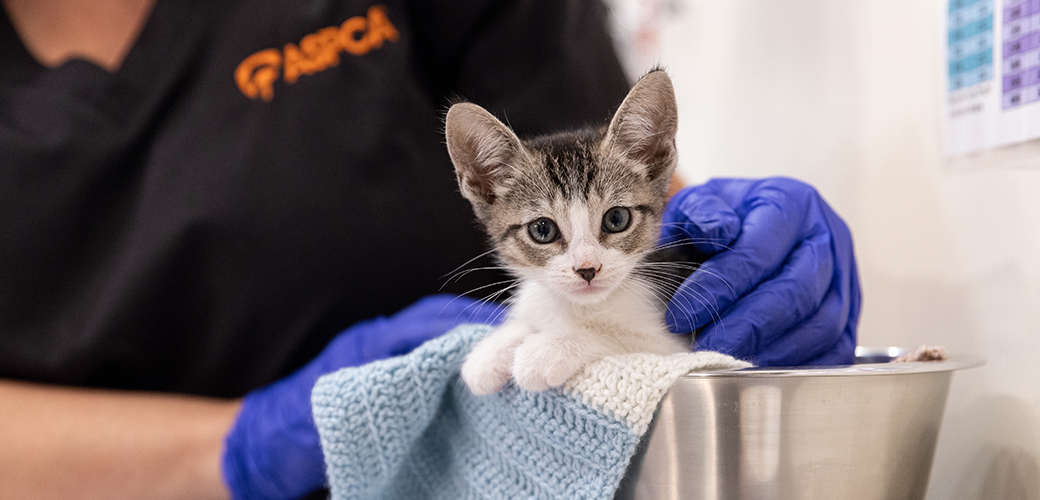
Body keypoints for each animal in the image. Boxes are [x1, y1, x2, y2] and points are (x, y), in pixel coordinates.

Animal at [443, 70, 686, 392]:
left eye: (617, 218)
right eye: (542, 230)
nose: (587, 269)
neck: (578, 307)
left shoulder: (675, 343)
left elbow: (628, 340)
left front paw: (549, 348)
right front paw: (493, 348)